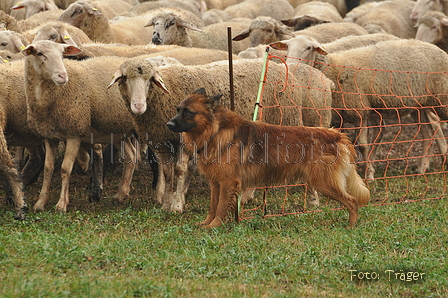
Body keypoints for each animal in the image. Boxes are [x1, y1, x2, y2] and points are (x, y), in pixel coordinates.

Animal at [21, 40, 139, 212]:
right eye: (39, 53)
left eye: (62, 54)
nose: (62, 76)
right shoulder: (50, 136)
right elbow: (48, 168)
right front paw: (41, 202)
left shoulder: (74, 133)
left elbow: (65, 168)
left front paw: (61, 204)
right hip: (119, 130)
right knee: (131, 156)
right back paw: (121, 194)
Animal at [166, 88, 370, 228]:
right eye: (177, 109)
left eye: (188, 112)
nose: (168, 124)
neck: (215, 130)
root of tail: (337, 135)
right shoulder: (216, 183)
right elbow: (213, 206)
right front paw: (206, 224)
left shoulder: (227, 182)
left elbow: (221, 207)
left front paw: (215, 226)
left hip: (324, 182)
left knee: (352, 202)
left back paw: (351, 227)